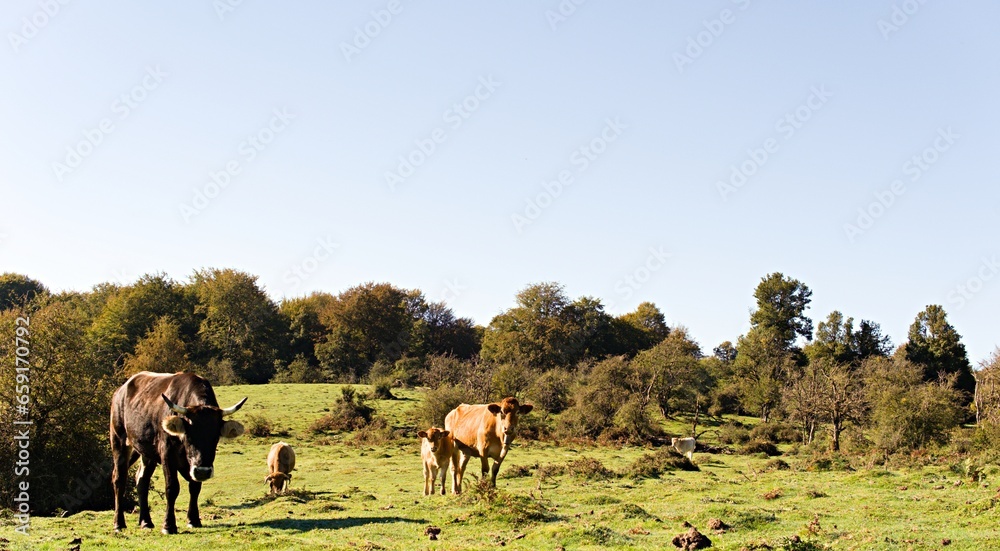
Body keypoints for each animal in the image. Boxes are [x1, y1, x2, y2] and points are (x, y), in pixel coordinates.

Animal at [110, 370, 246, 536]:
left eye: (215, 437)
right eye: (189, 435)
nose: (203, 471)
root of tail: (121, 390)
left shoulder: (194, 465)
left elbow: (195, 487)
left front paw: (193, 520)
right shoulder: (167, 454)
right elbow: (172, 488)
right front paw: (168, 525)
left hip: (146, 452)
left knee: (142, 480)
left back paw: (146, 522)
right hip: (119, 440)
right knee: (119, 479)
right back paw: (118, 523)